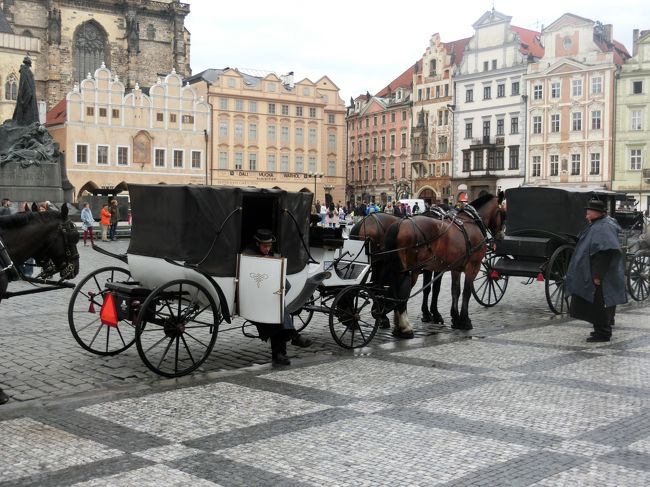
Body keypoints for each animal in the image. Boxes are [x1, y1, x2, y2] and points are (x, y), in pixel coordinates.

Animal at [382, 193, 504, 338]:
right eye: (503, 212)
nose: (501, 236)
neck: (472, 221)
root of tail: (401, 223)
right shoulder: (472, 266)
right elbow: (466, 292)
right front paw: (465, 320)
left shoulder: (455, 268)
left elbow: (455, 291)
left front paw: (455, 319)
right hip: (412, 271)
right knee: (402, 293)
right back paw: (405, 327)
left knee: (394, 292)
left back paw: (396, 325)